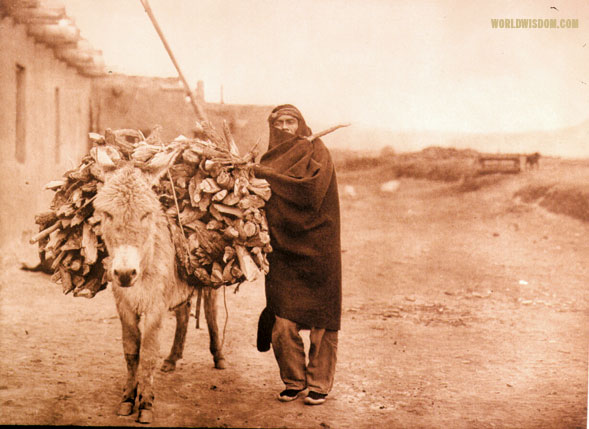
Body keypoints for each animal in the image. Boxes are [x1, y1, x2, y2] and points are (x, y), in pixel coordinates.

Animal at [93, 162, 224, 422]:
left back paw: (218, 356)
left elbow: (149, 352)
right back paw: (173, 358)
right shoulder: (123, 305)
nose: (125, 273)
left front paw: (145, 404)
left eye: (146, 214)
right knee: (183, 314)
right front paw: (127, 398)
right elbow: (131, 351)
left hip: (208, 282)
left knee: (211, 314)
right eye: (108, 214)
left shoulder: (155, 306)